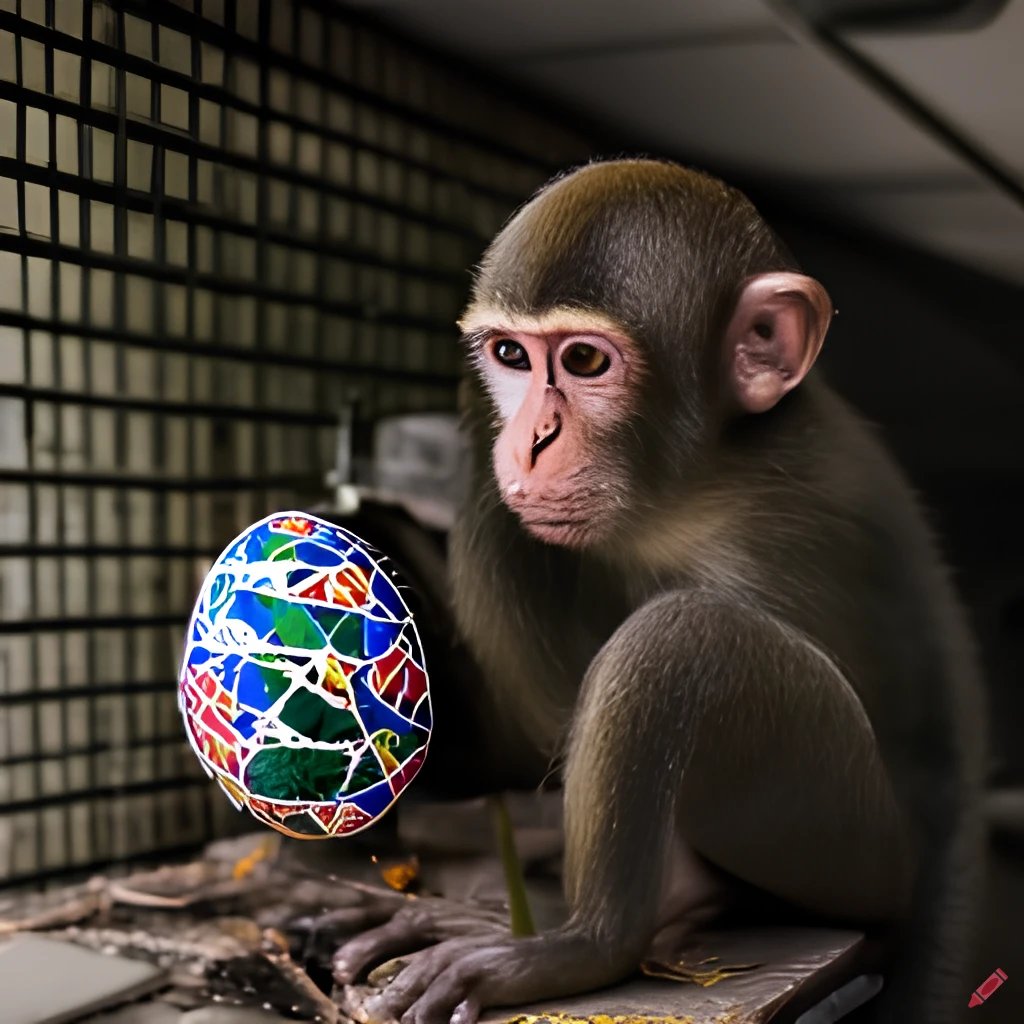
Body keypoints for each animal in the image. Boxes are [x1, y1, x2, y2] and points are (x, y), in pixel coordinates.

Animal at [329, 159, 987, 1024]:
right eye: (511, 354)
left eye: (584, 362)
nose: (530, 442)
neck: (699, 481)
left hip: (852, 847)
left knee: (684, 639)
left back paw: (583, 944)